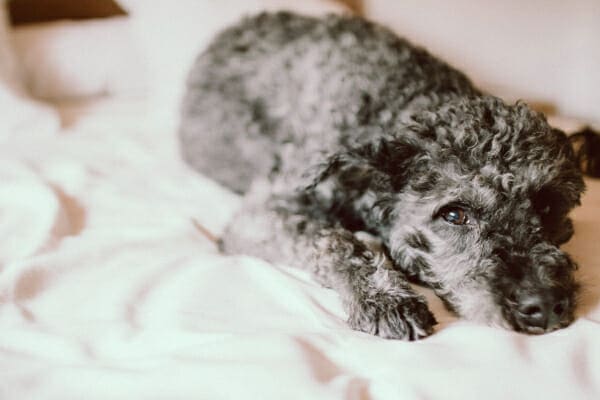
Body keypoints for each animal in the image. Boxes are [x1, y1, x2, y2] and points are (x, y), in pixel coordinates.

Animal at [178, 10, 584, 340]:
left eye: (548, 207)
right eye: (454, 214)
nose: (543, 306)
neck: (401, 104)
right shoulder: (262, 213)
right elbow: (335, 239)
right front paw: (384, 298)